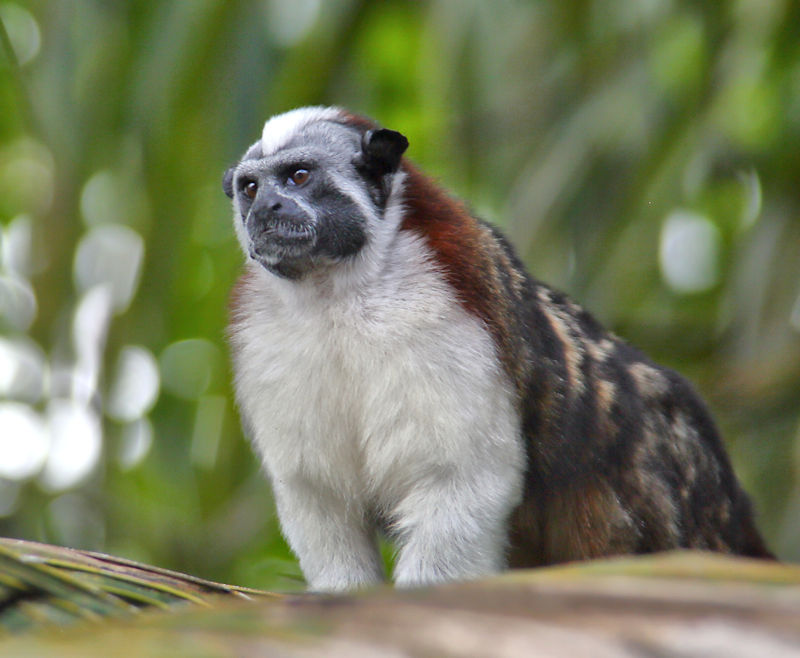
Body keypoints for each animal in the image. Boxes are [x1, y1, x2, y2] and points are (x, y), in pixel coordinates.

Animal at [222, 106, 772, 588]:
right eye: (250, 187)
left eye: (298, 177)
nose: (265, 209)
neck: (338, 296)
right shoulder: (265, 344)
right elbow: (320, 498)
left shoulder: (447, 319)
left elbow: (458, 480)